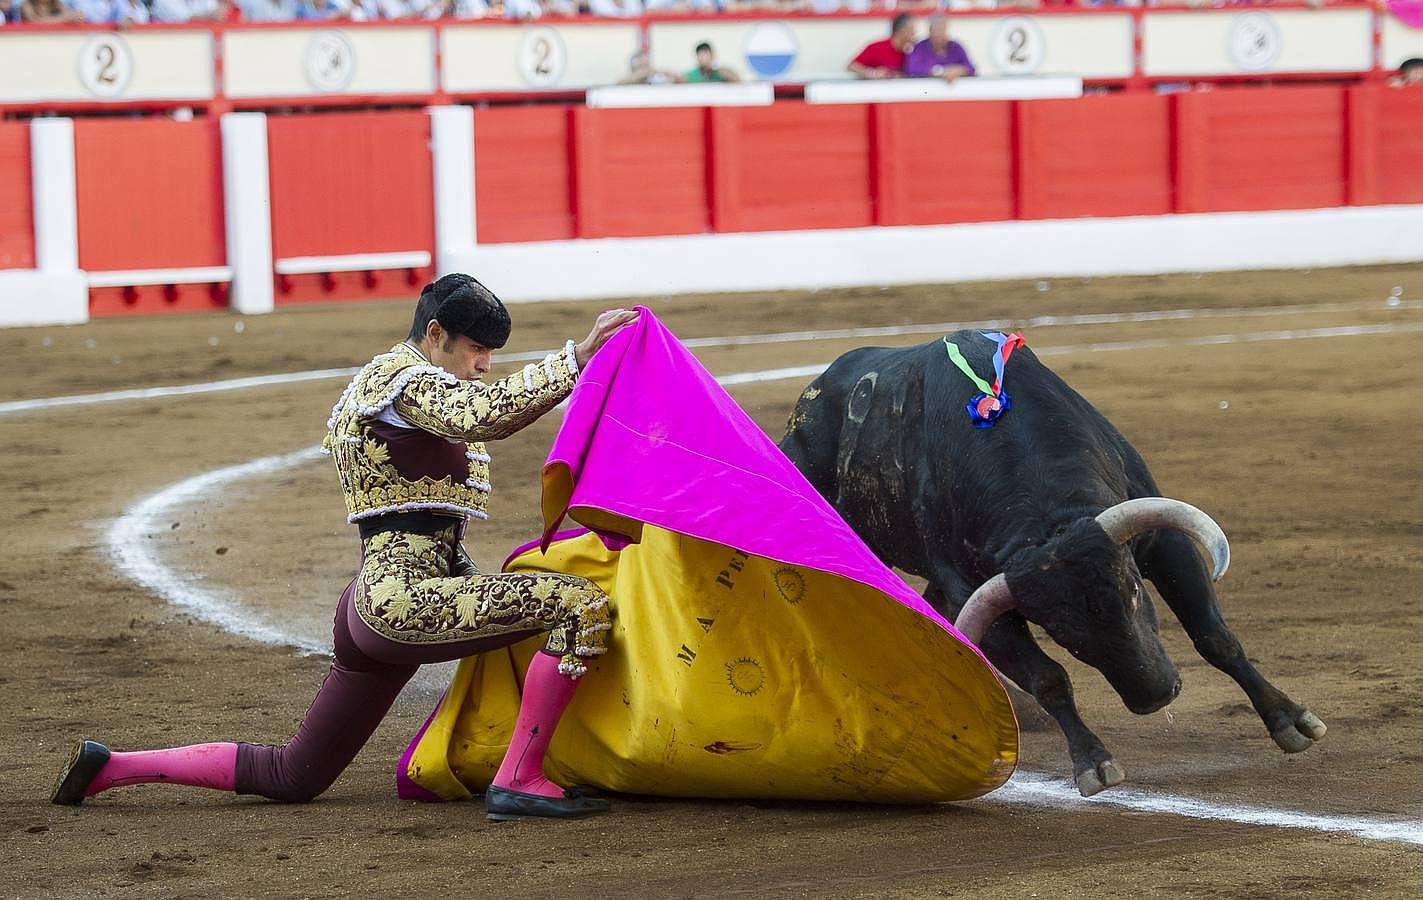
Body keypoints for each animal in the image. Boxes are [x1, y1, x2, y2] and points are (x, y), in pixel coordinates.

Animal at [779, 334, 1320, 797]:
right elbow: (1049, 678)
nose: (1156, 696)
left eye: (1134, 591)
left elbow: (1214, 637)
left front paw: (1290, 720)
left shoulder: (1161, 540)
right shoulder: (977, 593)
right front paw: (1094, 764)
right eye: (1062, 632)